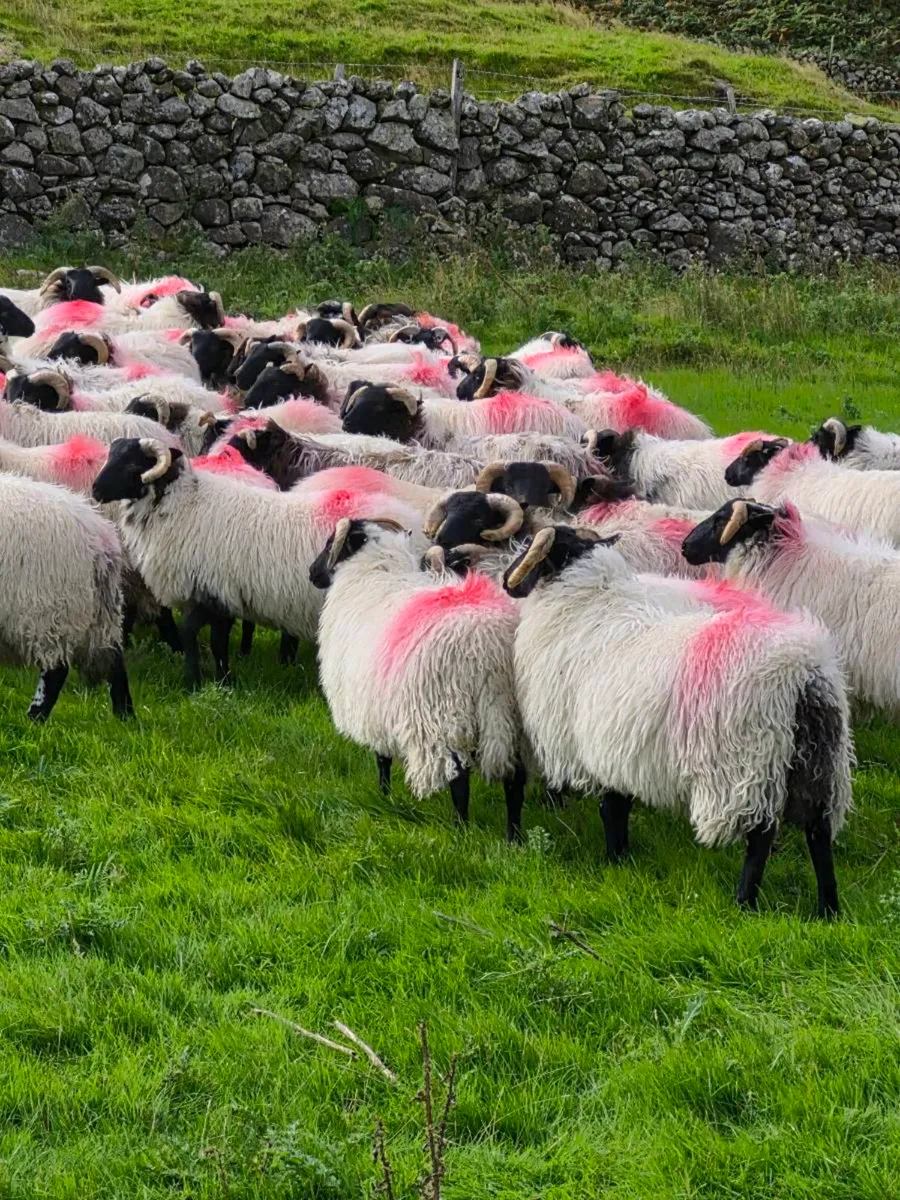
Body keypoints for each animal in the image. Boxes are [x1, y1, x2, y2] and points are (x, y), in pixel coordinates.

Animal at [0, 471, 133, 721]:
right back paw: (125, 717)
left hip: (48, 609)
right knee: (114, 660)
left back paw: (34, 719)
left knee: (56, 670)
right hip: (100, 612)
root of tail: (100, 535)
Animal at [90, 438, 425, 688]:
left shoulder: (210, 590)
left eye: (133, 464)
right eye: (112, 455)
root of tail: (411, 522)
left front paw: (193, 681)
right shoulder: (221, 594)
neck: (184, 505)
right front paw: (224, 680)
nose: (95, 490)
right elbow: (218, 640)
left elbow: (192, 633)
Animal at [310, 517, 526, 840]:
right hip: (512, 719)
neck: (373, 572)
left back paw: (461, 831)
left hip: (445, 717)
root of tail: (489, 645)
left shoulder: (375, 708)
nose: (312, 573)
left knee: (459, 779)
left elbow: (382, 758)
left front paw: (383, 796)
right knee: (515, 781)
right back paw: (514, 838)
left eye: (329, 543)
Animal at [503, 524, 853, 917]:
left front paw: (613, 859)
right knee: (818, 830)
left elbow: (611, 810)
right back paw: (828, 908)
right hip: (820, 762)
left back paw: (744, 901)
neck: (587, 605)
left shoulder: (601, 744)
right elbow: (619, 806)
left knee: (760, 834)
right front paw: (622, 860)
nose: (506, 581)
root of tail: (803, 672)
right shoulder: (619, 746)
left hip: (748, 762)